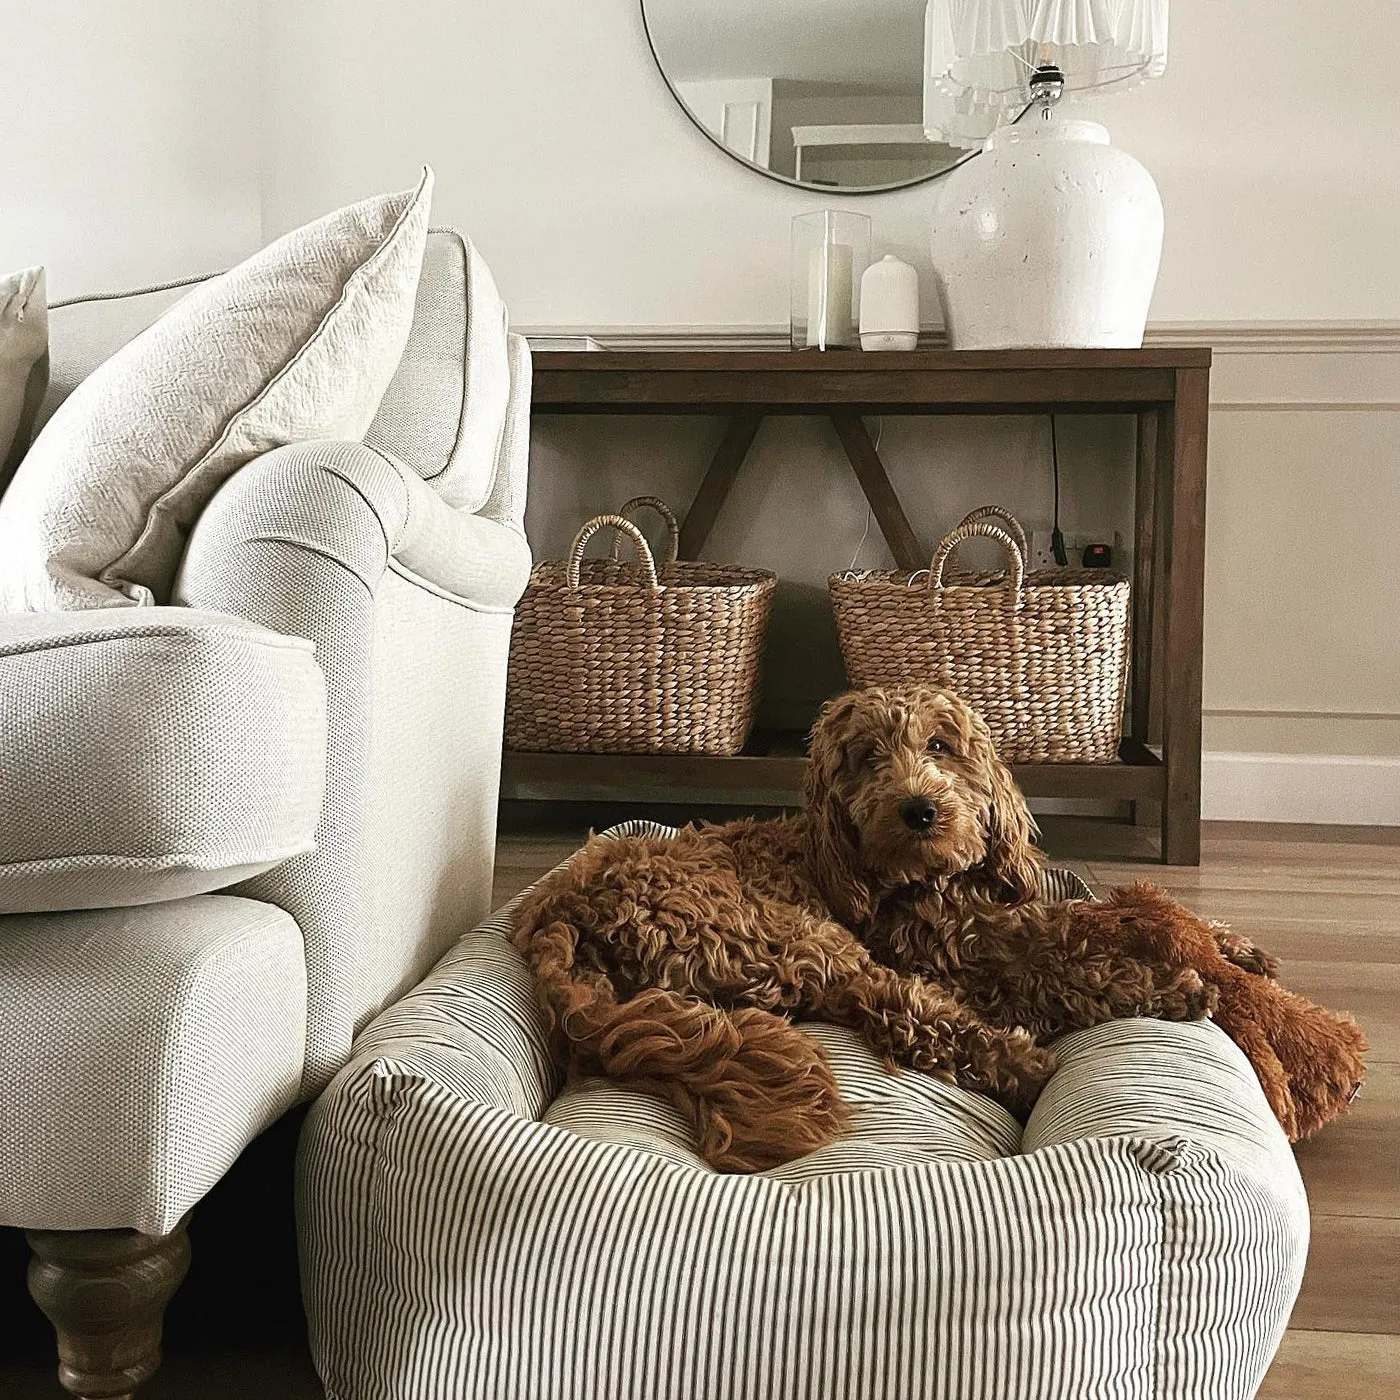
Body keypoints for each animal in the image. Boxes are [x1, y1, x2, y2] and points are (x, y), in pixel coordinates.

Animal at [515, 688, 1355, 1170]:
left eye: (941, 747)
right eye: (866, 758)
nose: (920, 809)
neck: (929, 879)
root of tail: (559, 908)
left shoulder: (1016, 913)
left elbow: (1104, 913)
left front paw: (1225, 942)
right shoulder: (970, 962)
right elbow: (1074, 964)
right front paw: (1171, 983)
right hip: (800, 938)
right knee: (905, 1015)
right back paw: (1026, 1066)